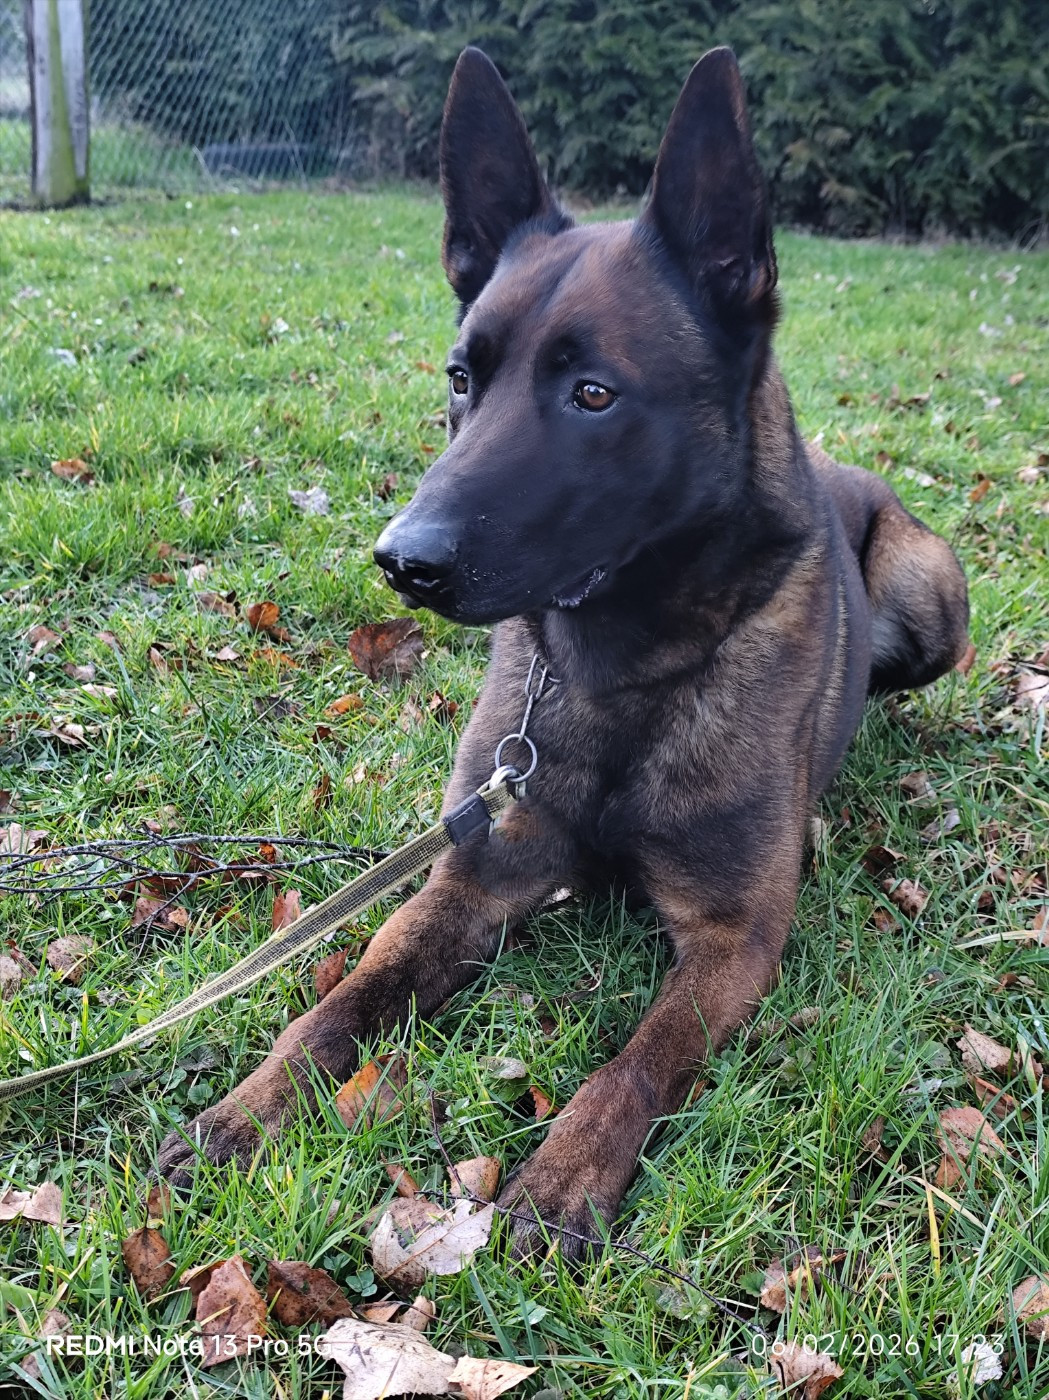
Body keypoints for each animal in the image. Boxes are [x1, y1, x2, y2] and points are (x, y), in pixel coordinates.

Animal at [159, 46, 969, 1258]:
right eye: (461, 378)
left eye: (593, 393)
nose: (401, 560)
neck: (618, 674)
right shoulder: (468, 877)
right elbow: (340, 1000)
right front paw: (244, 1110)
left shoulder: (733, 938)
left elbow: (632, 1065)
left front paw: (562, 1177)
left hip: (931, 590)